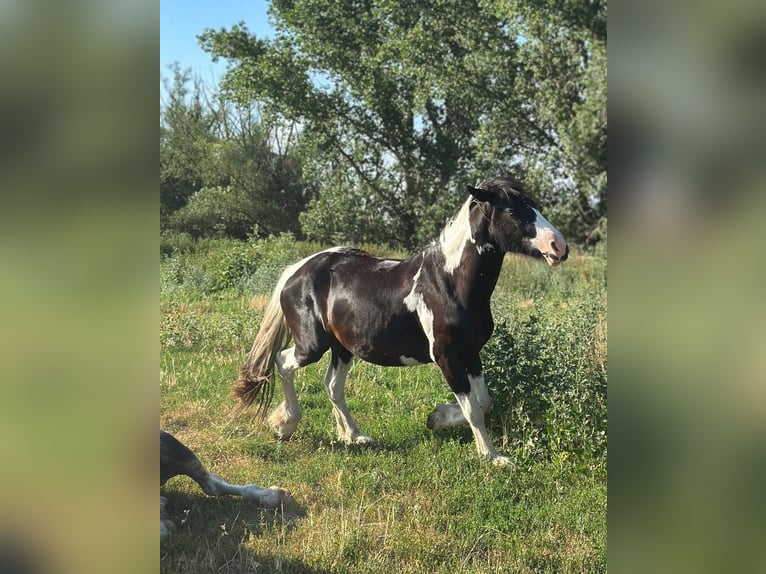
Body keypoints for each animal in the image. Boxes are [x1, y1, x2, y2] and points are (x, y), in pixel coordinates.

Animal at [232, 176, 567, 465]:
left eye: (533, 205)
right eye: (511, 210)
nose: (559, 246)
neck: (449, 283)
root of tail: (297, 270)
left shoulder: (472, 353)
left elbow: (484, 402)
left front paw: (436, 418)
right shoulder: (447, 356)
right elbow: (473, 408)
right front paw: (492, 457)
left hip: (343, 348)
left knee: (333, 386)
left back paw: (353, 435)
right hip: (311, 345)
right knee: (283, 362)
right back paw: (285, 425)